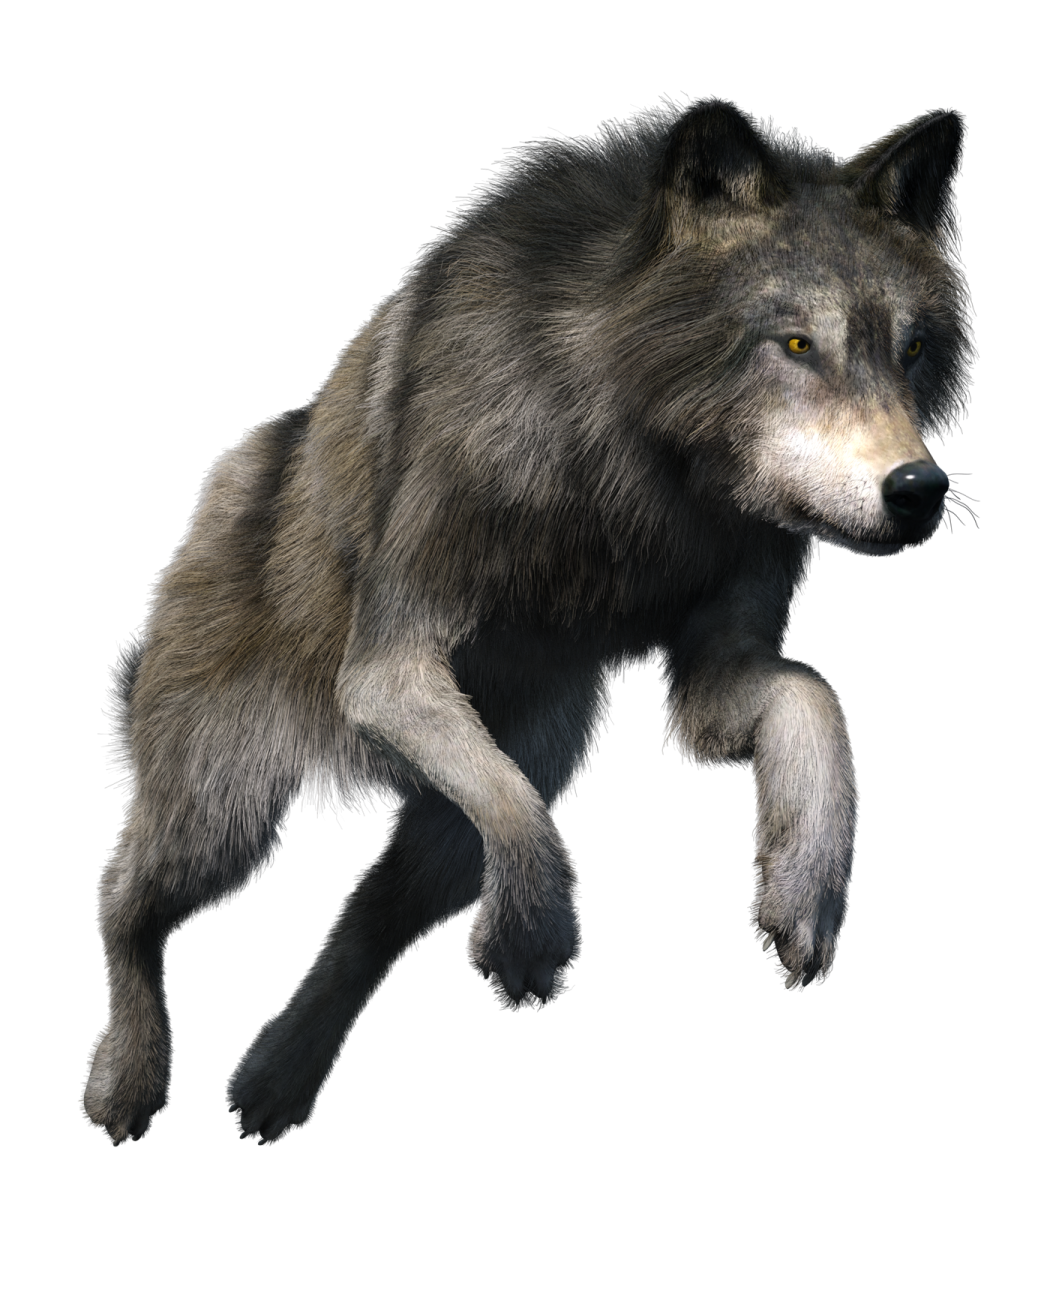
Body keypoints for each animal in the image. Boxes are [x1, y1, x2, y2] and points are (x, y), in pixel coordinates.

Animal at [83, 98, 975, 1145]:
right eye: (796, 344)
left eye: (911, 350)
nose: (918, 489)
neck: (631, 469)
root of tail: (225, 475)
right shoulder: (390, 664)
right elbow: (521, 821)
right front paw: (531, 943)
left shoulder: (715, 678)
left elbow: (816, 697)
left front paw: (805, 891)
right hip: (218, 829)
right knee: (123, 903)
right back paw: (127, 1084)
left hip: (471, 810)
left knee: (366, 925)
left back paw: (277, 1080)